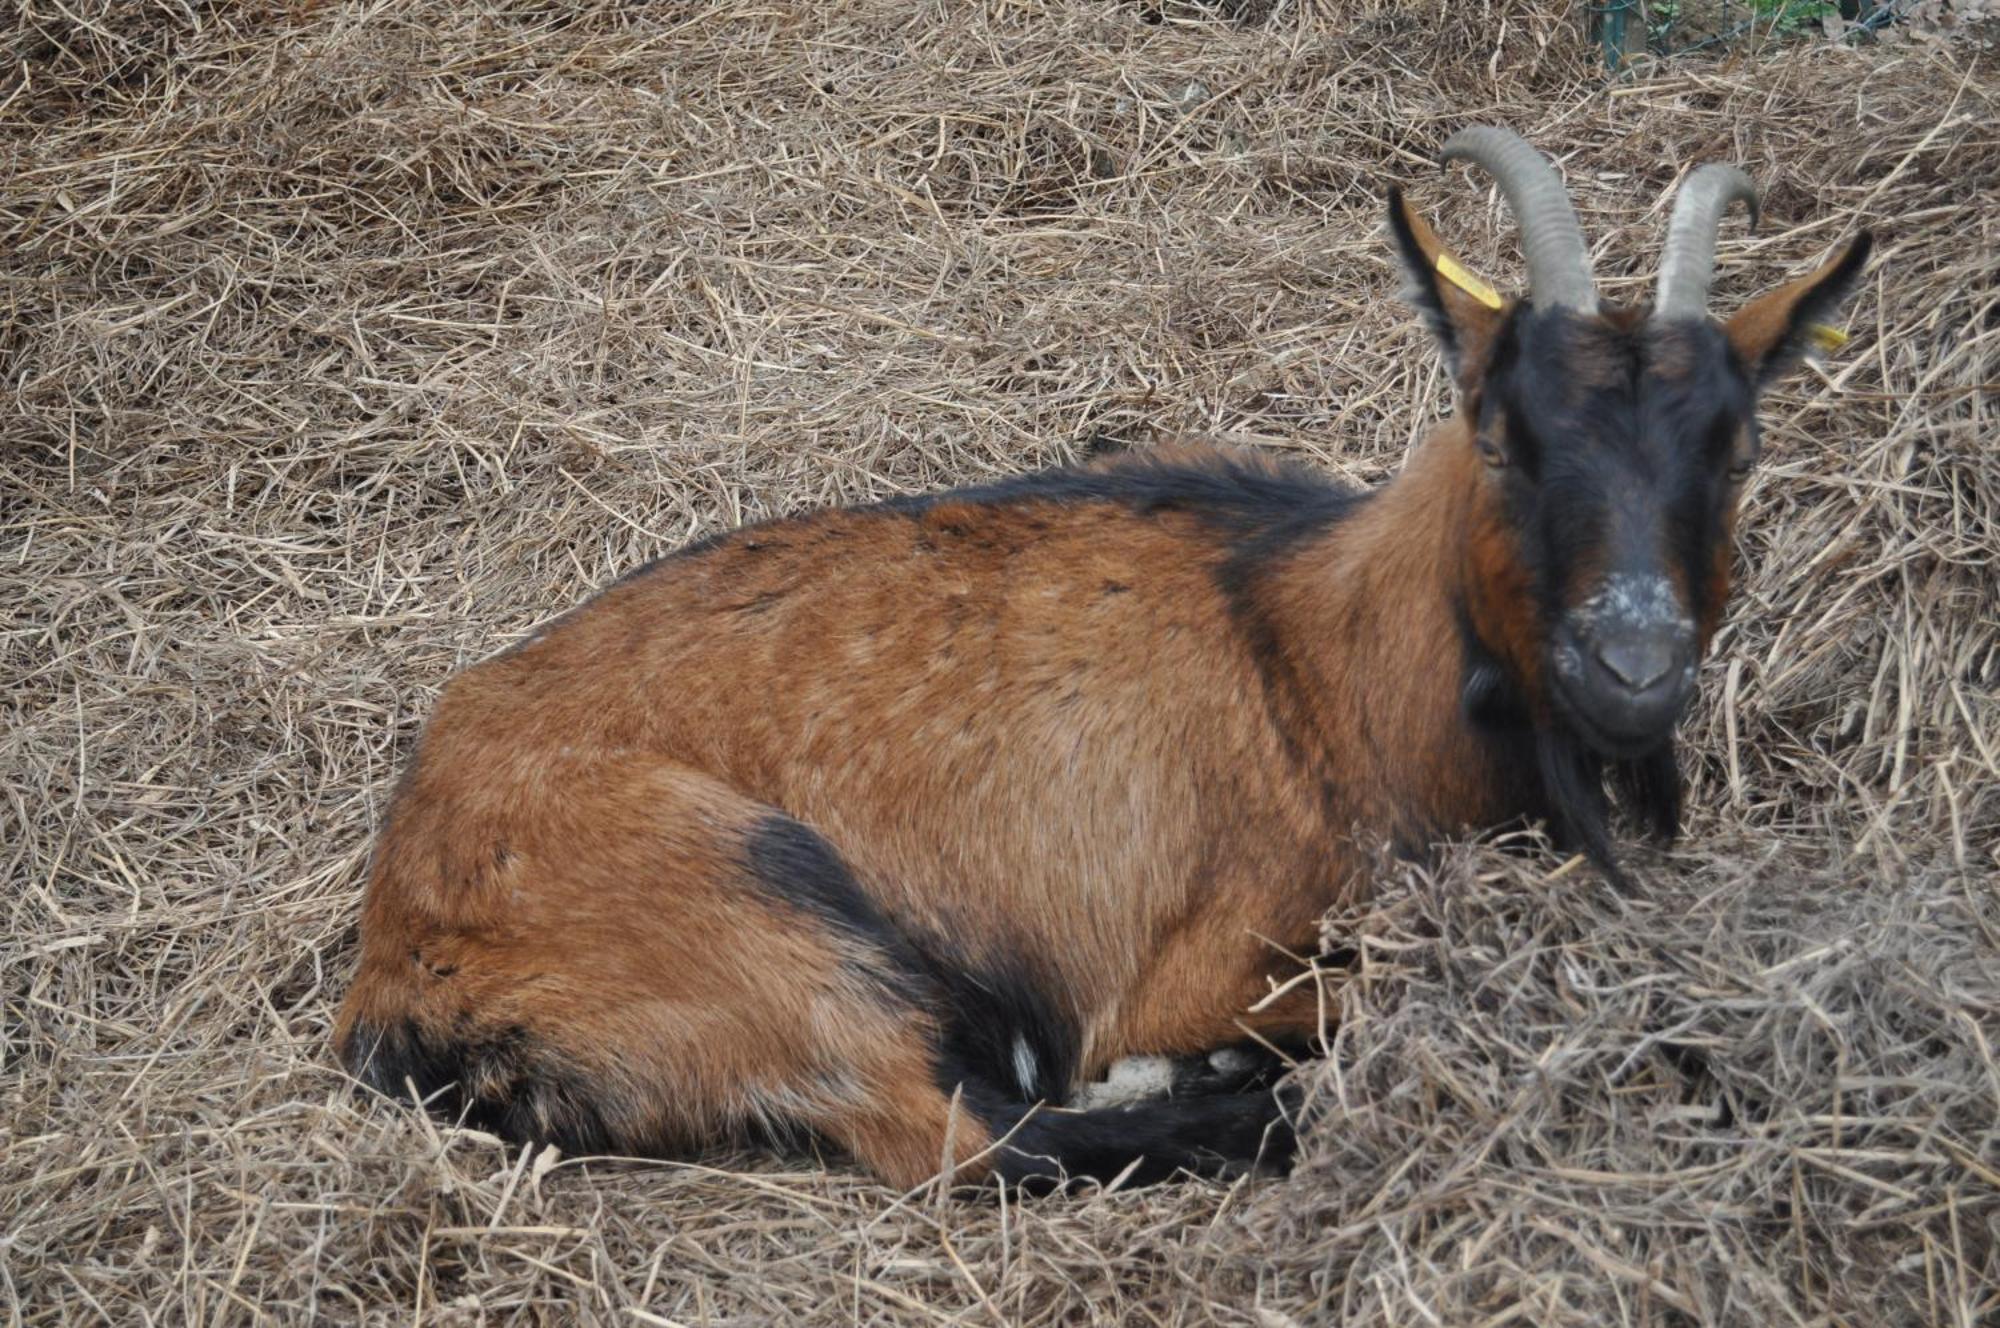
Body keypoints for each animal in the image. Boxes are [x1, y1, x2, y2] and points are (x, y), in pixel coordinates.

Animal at [332, 132, 1872, 1192]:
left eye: (1737, 446)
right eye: (1501, 434)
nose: (1633, 666)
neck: (1323, 660)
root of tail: (394, 963)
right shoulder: (1195, 963)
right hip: (757, 906)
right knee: (964, 1143)